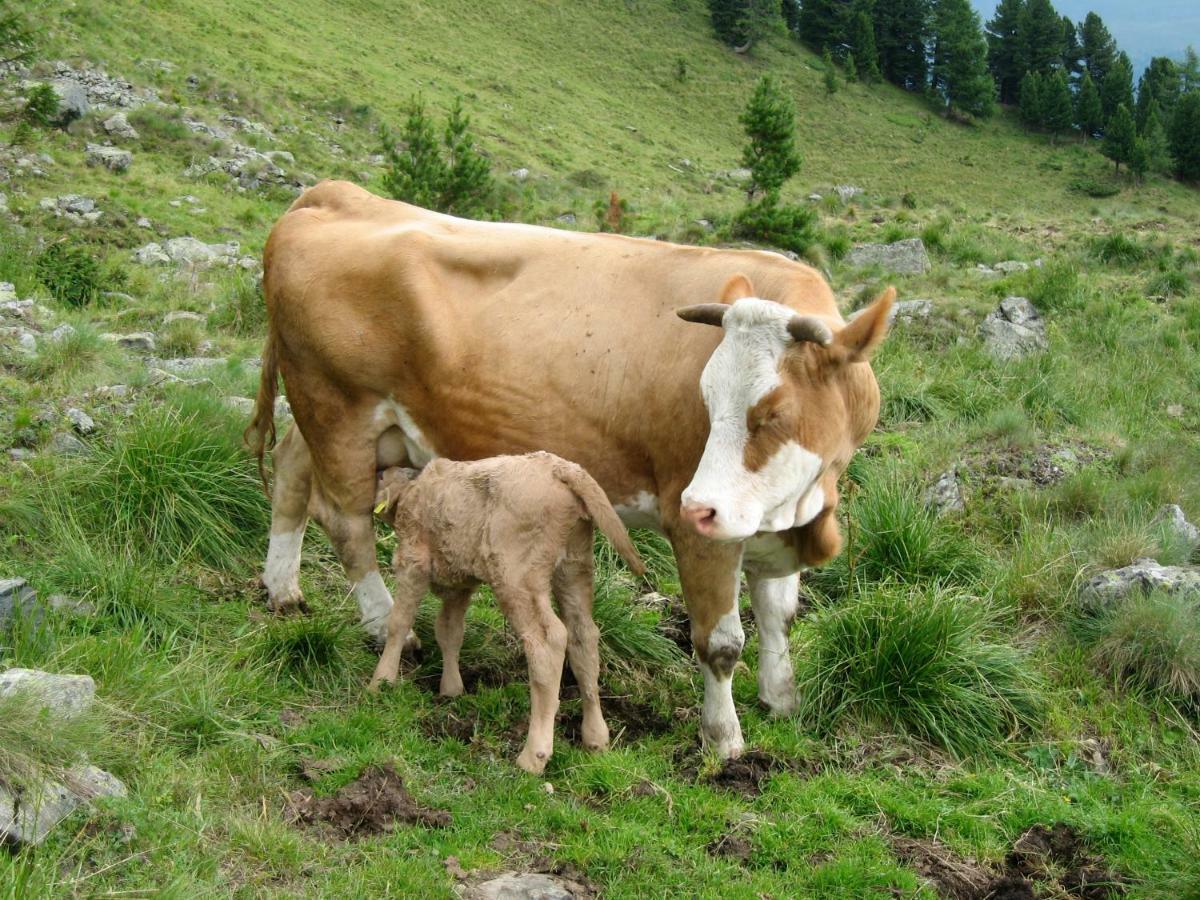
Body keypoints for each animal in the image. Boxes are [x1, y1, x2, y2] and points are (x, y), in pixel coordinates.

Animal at [369, 451, 648, 777]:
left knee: (547, 641)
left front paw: (381, 683)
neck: (414, 488)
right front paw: (451, 689)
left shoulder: (413, 560)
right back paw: (596, 738)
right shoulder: (460, 582)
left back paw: (533, 756)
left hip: (517, 574)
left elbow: (399, 622)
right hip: (574, 565)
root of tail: (561, 469)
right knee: (583, 636)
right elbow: (449, 631)